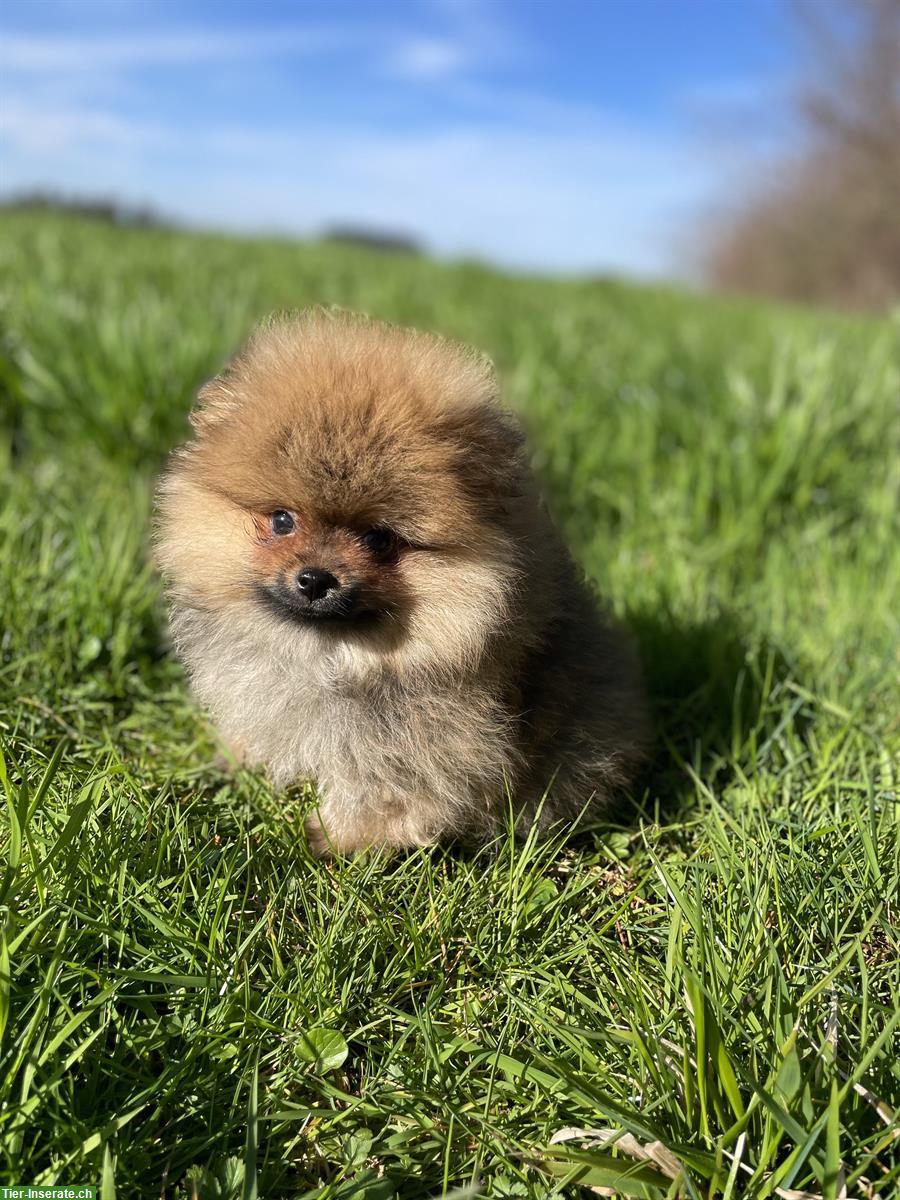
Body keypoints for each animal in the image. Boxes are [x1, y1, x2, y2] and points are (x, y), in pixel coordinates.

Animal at [154, 309, 648, 854]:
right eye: (282, 520)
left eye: (378, 539)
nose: (315, 578)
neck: (327, 656)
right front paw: (241, 761)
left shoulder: (419, 741)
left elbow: (385, 789)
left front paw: (337, 842)